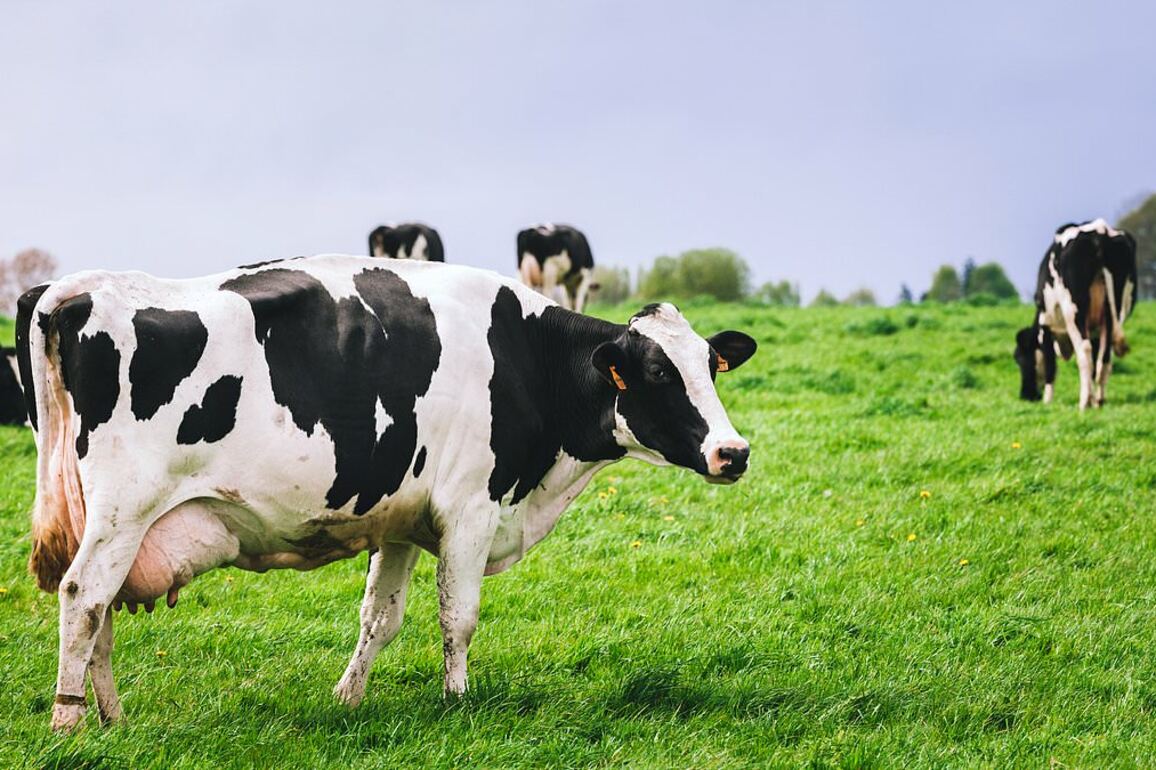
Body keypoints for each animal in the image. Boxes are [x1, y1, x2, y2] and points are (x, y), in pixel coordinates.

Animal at [17, 256, 757, 731]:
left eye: (712, 366)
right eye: (658, 371)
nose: (734, 451)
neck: (525, 357)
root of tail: (84, 286)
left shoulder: (401, 518)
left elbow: (380, 617)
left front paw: (348, 698)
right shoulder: (470, 509)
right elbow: (459, 617)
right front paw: (457, 701)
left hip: (113, 519)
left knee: (100, 609)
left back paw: (111, 717)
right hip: (124, 508)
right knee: (83, 597)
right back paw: (67, 723)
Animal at [1015, 219, 1137, 409]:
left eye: (1019, 358)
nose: (1025, 395)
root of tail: (1099, 231)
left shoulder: (1046, 324)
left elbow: (1050, 366)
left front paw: (1048, 401)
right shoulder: (1095, 329)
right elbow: (1097, 361)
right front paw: (1095, 398)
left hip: (1074, 311)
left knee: (1084, 351)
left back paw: (1084, 402)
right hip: (1112, 312)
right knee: (1105, 359)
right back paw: (1099, 401)